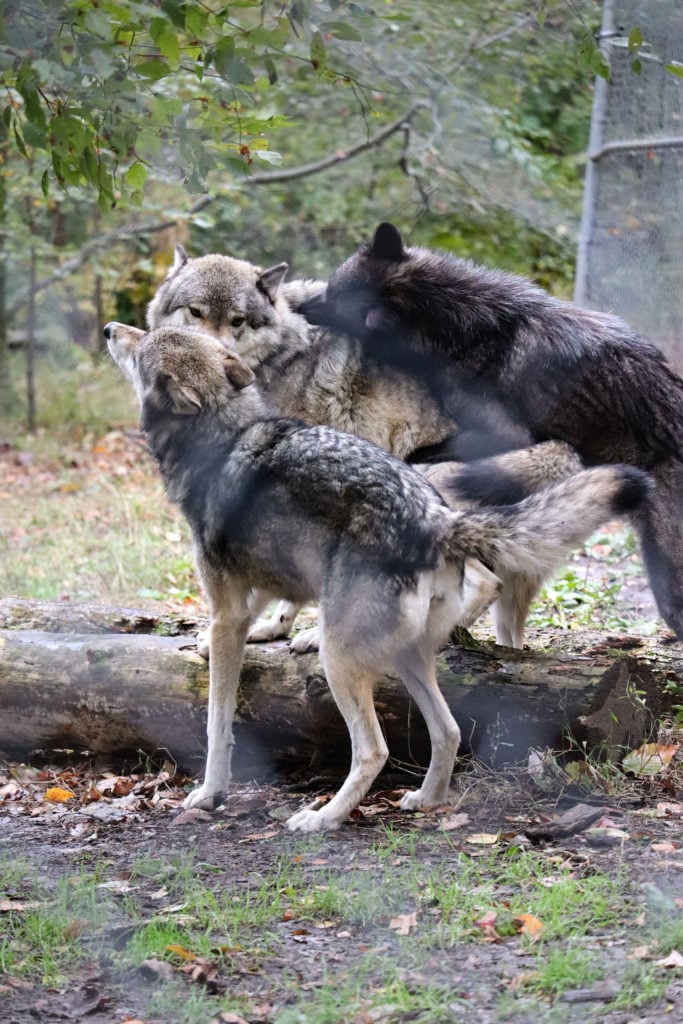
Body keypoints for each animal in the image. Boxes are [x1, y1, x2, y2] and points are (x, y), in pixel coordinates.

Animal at [105, 321, 649, 830]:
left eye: (144, 342)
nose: (111, 330)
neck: (221, 434)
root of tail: (435, 519)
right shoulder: (263, 581)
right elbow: (267, 606)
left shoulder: (227, 610)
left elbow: (217, 721)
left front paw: (209, 793)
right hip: (408, 658)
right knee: (448, 730)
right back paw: (426, 799)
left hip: (341, 662)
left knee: (374, 750)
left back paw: (324, 817)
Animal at [147, 247, 585, 649]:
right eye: (196, 312)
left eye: (237, 321)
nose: (209, 355)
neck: (282, 356)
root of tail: (564, 448)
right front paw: (273, 627)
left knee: (484, 584)